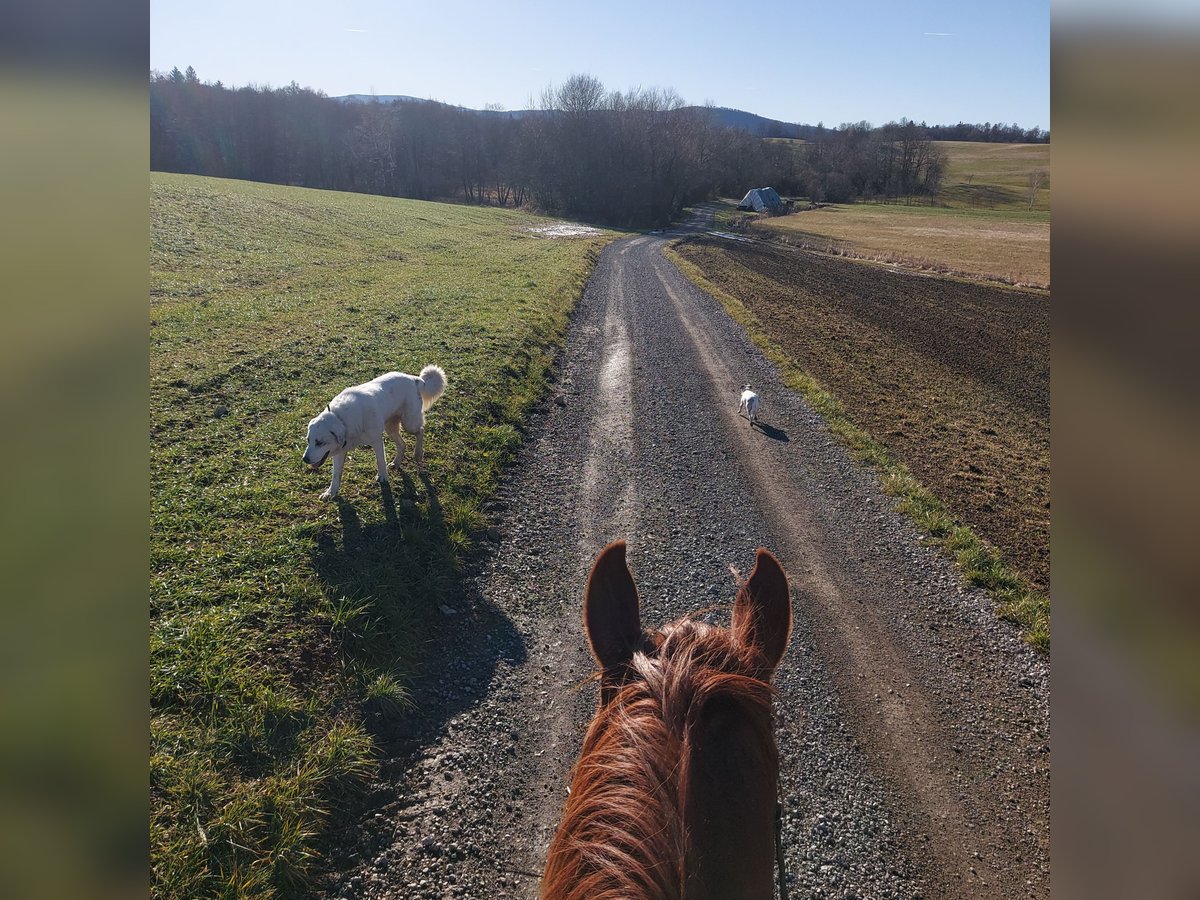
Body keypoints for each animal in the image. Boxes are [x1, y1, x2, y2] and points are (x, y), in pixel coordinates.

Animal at [304, 364, 446, 501]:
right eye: (308, 440)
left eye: (320, 442)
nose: (305, 459)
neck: (342, 419)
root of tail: (414, 379)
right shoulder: (340, 451)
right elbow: (336, 475)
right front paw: (330, 493)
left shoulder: (377, 441)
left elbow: (380, 461)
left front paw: (383, 477)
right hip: (390, 428)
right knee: (402, 444)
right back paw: (396, 463)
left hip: (409, 423)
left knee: (420, 430)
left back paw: (418, 453)